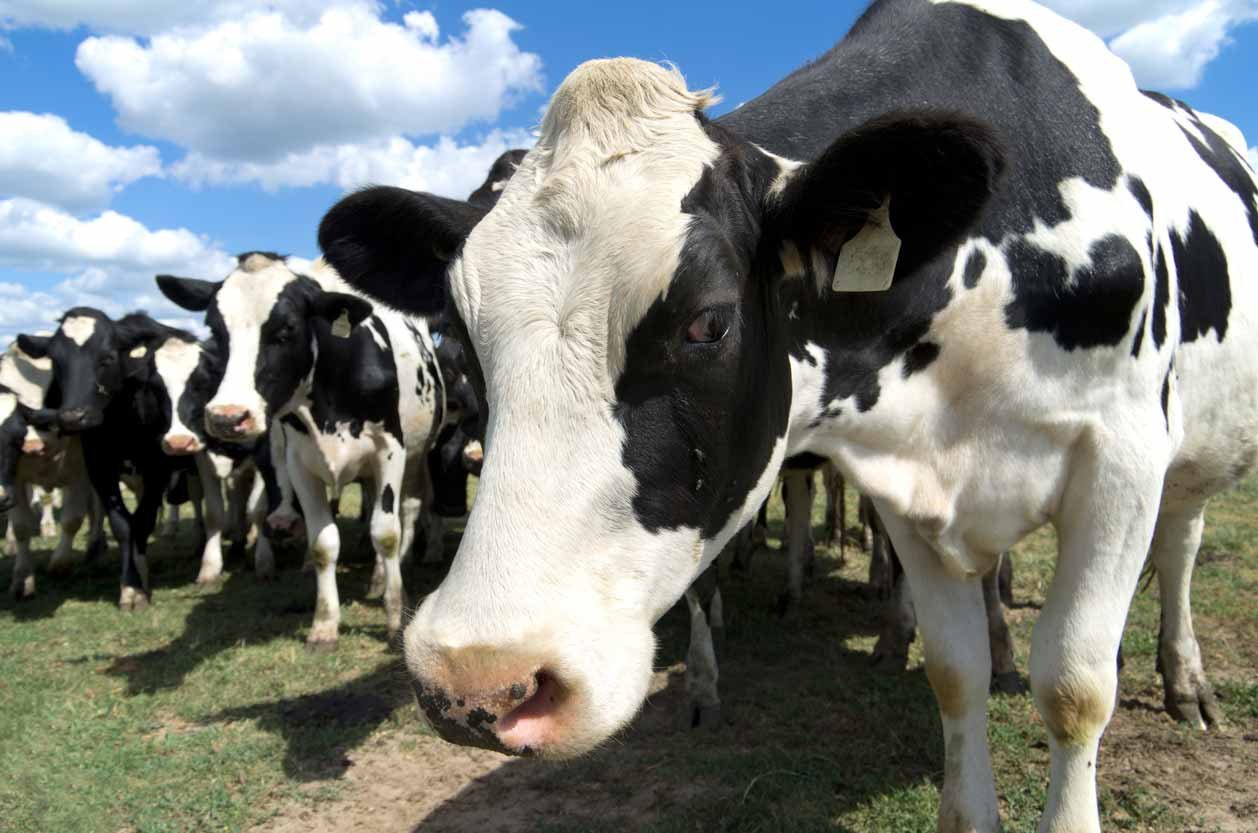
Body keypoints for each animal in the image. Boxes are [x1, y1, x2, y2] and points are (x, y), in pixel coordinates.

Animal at [156, 251, 445, 649]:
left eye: (287, 328)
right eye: (215, 330)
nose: (228, 417)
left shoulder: (390, 449)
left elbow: (385, 533)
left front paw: (394, 618)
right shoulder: (299, 463)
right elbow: (323, 543)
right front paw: (324, 625)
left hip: (416, 457)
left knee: (408, 510)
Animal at [319, 1, 1258, 830]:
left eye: (710, 321)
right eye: (459, 329)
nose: (475, 680)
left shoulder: (1121, 459)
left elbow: (1074, 684)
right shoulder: (910, 490)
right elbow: (954, 671)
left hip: (1189, 462)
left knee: (1179, 548)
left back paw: (1184, 678)